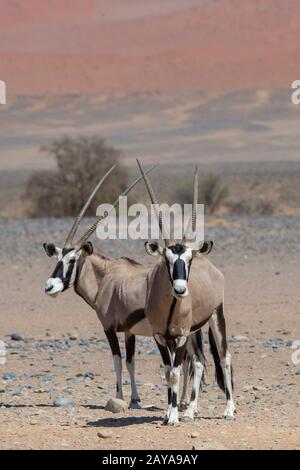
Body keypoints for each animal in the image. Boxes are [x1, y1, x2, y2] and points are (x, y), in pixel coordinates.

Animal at [42, 163, 206, 410]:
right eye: (57, 259)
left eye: (72, 260)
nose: (50, 286)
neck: (105, 278)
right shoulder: (129, 331)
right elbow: (130, 361)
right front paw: (135, 399)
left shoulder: (109, 327)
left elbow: (117, 360)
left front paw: (119, 396)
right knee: (190, 362)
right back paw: (185, 401)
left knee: (193, 361)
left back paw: (186, 404)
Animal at [137, 160, 236, 424]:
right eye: (167, 259)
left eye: (189, 260)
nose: (180, 290)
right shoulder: (161, 336)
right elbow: (169, 371)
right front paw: (169, 412)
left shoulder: (180, 335)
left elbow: (176, 371)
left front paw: (172, 417)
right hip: (194, 331)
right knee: (199, 362)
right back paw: (190, 409)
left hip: (215, 318)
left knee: (224, 358)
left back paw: (229, 409)